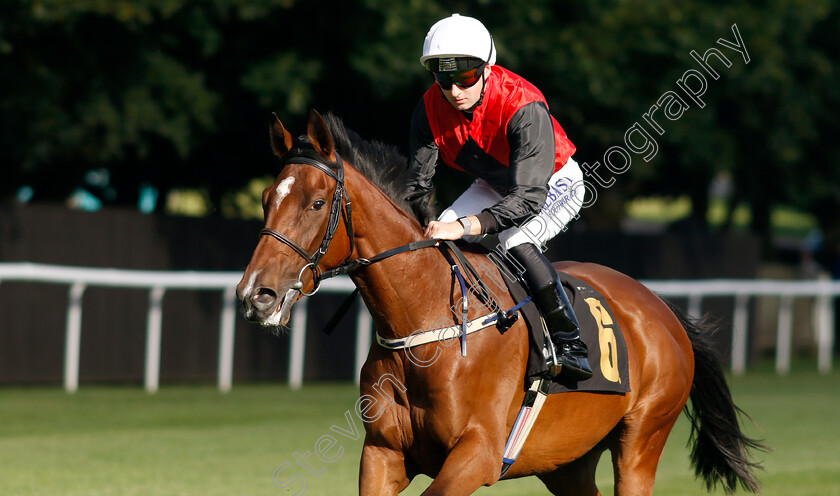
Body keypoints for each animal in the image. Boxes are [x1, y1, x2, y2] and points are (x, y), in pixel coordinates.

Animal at [235, 110, 760, 494]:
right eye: (265, 198)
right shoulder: (383, 453)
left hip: (642, 440)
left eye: (317, 203)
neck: (424, 322)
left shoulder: (477, 455)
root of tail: (662, 310)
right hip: (567, 462)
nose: (256, 295)